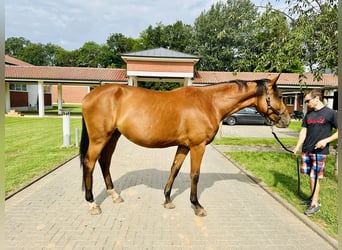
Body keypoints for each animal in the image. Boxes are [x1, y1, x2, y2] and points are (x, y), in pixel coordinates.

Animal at [81, 74, 292, 217]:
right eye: (280, 95)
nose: (287, 120)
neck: (209, 103)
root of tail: (89, 96)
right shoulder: (198, 146)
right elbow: (194, 175)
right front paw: (197, 205)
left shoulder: (183, 146)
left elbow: (174, 169)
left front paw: (167, 200)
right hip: (100, 138)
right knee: (90, 163)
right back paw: (92, 203)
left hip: (113, 136)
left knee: (104, 161)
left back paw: (114, 195)